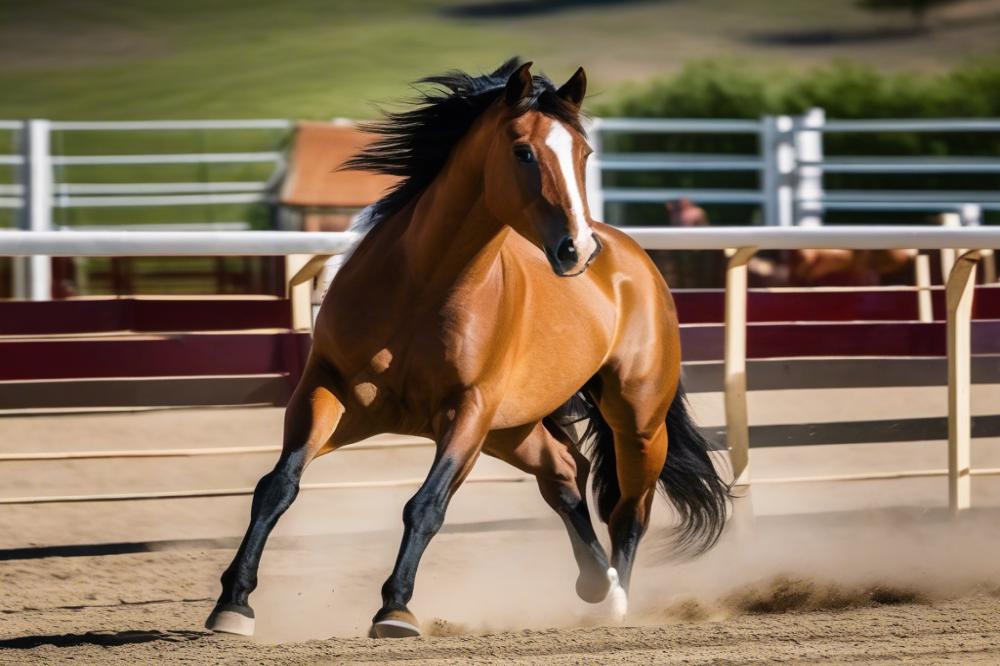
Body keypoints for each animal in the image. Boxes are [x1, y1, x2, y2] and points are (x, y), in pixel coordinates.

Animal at [207, 59, 732, 636]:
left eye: (584, 154)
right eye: (523, 152)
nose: (576, 250)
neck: (420, 289)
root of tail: (631, 257)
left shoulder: (468, 412)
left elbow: (427, 505)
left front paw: (396, 608)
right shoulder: (329, 393)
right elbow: (277, 486)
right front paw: (233, 603)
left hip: (636, 422)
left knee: (629, 511)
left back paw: (615, 603)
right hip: (514, 429)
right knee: (564, 473)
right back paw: (599, 584)